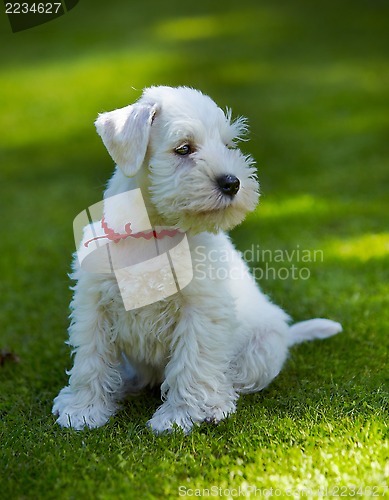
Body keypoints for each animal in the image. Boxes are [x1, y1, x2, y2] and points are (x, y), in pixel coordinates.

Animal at [53, 86, 342, 434]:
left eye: (228, 145)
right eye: (183, 148)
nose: (233, 183)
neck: (154, 234)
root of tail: (287, 335)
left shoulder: (200, 311)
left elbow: (191, 364)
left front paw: (179, 416)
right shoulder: (94, 306)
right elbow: (90, 360)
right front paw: (83, 410)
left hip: (262, 347)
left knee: (230, 380)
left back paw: (216, 405)